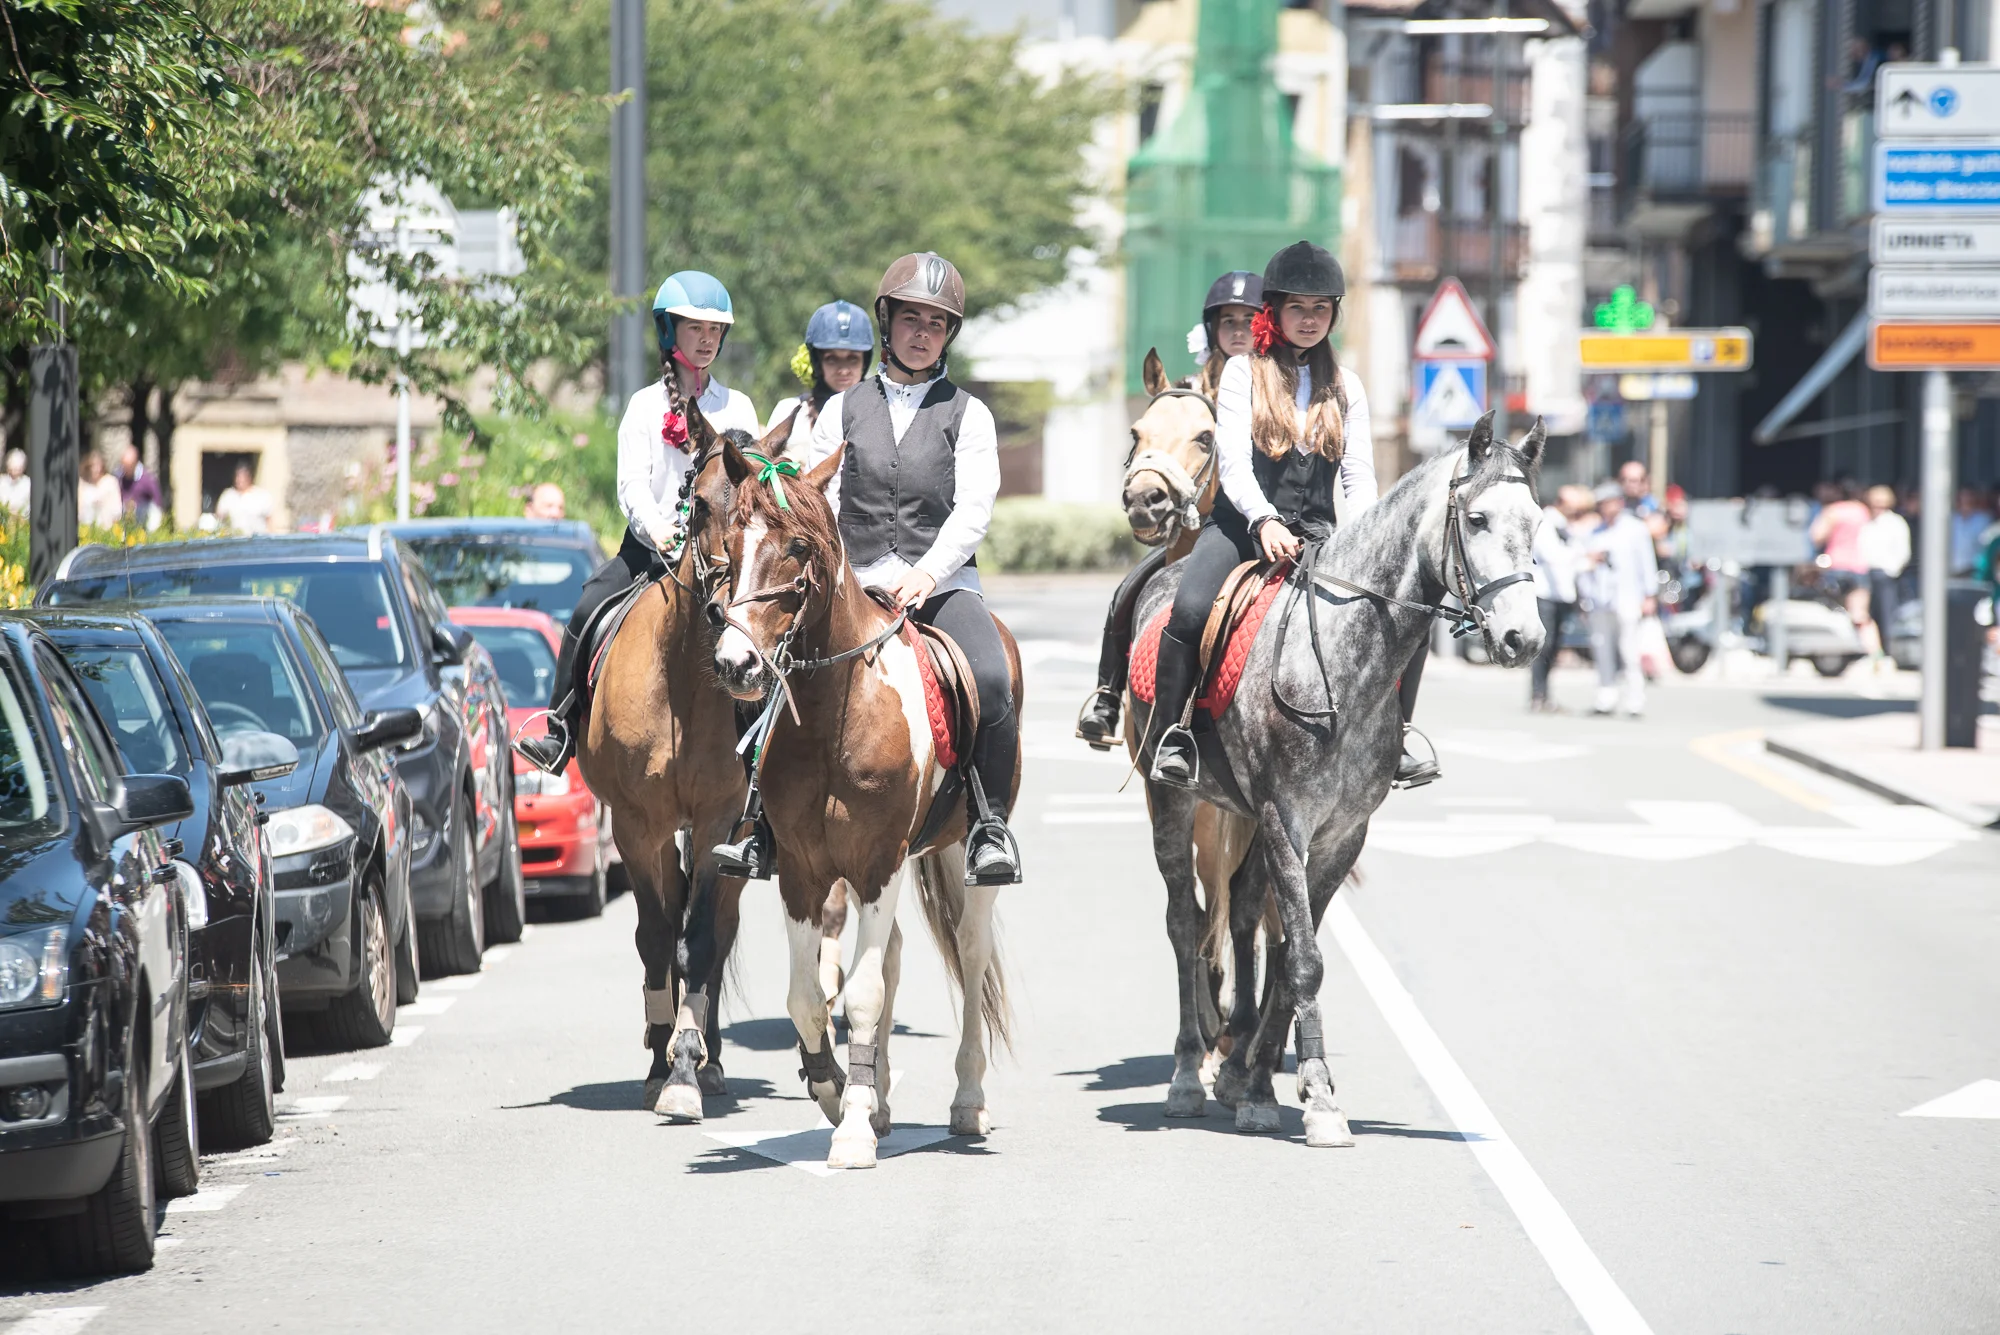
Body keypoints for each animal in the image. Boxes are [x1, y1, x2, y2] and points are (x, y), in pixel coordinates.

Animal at [705, 438, 1017, 1170]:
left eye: (796, 547)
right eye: (730, 542)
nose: (735, 665)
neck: (834, 713)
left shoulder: (878, 861)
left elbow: (866, 996)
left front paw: (850, 1132)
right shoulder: (802, 870)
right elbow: (809, 997)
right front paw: (835, 1090)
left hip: (956, 854)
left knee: (969, 952)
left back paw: (967, 1102)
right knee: (896, 952)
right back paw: (879, 1100)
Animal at [1127, 411, 1546, 1145]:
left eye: (1540, 523)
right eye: (1478, 518)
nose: (1526, 639)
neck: (1346, 661)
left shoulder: (1342, 833)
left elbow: (1294, 948)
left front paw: (1263, 1084)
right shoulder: (1285, 818)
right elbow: (1304, 957)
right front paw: (1317, 1096)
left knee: (1240, 911)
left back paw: (1235, 1065)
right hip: (1172, 800)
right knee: (1185, 920)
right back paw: (1186, 1074)